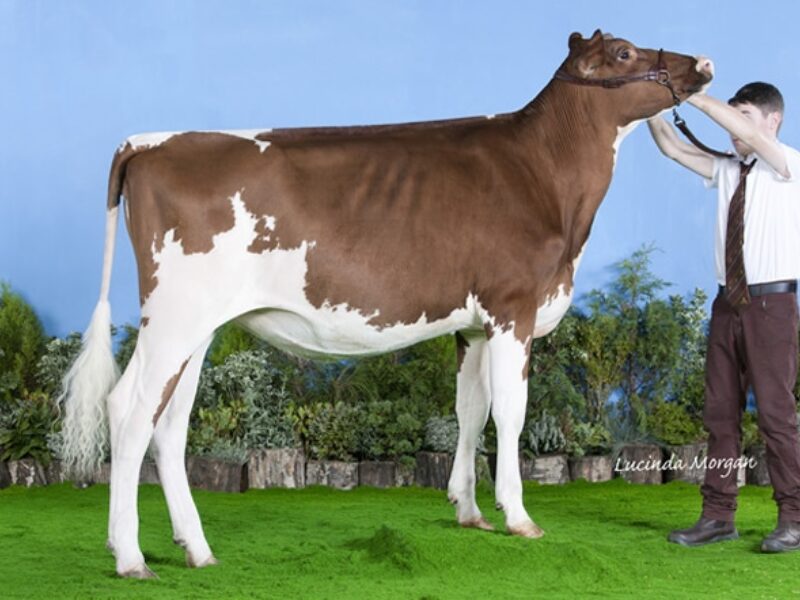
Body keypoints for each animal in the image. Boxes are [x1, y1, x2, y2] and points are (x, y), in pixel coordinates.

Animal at [59, 30, 713, 578]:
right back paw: (129, 557)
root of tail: (151, 142)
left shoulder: (473, 326)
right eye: (625, 53)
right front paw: (519, 517)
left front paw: (468, 511)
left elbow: (469, 411)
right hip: (174, 316)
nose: (703, 63)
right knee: (129, 409)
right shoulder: (513, 309)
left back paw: (196, 549)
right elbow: (511, 413)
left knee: (169, 424)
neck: (547, 175)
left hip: (198, 326)